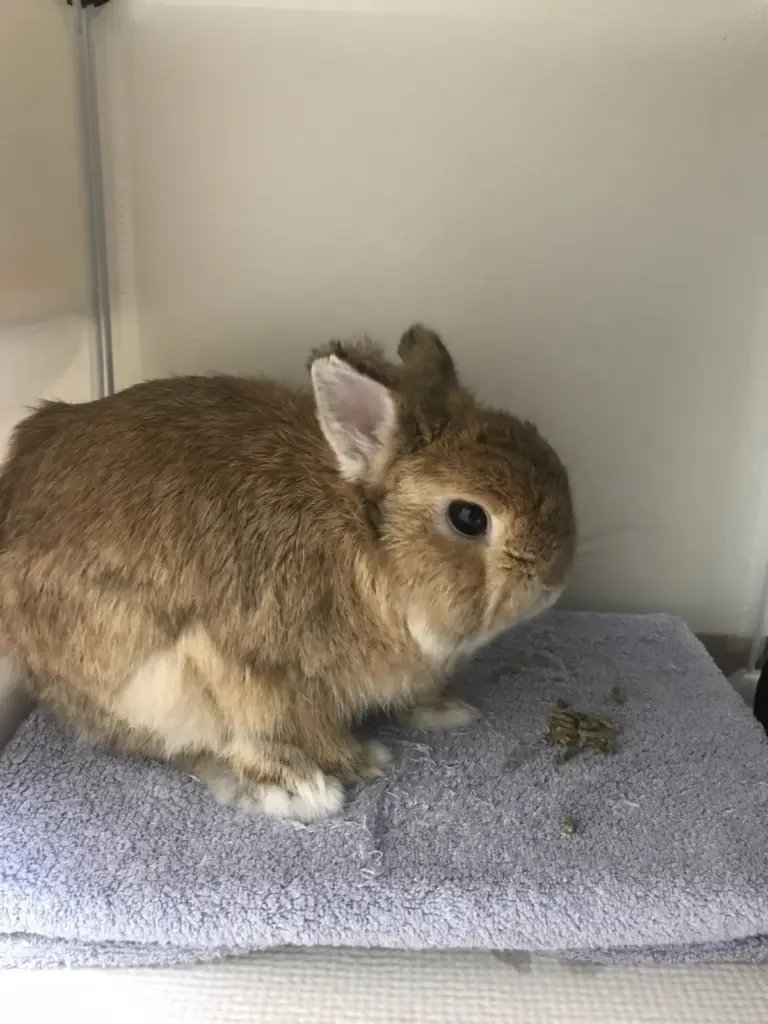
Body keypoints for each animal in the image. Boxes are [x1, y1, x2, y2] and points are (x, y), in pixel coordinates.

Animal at [0, 324, 575, 821]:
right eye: (468, 518)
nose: (555, 580)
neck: (366, 547)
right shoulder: (258, 671)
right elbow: (291, 727)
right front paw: (356, 765)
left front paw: (446, 710)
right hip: (153, 673)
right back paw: (296, 787)